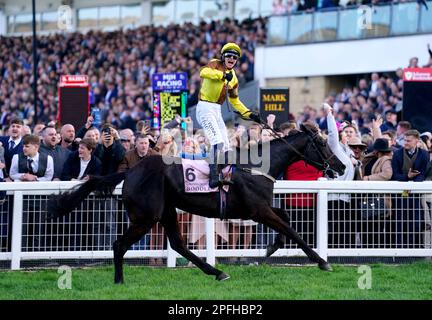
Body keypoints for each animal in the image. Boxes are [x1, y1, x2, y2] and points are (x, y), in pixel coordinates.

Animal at [47, 124, 344, 284]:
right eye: (321, 143)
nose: (340, 167)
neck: (257, 167)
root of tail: (130, 171)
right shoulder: (257, 210)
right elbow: (293, 230)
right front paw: (322, 262)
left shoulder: (257, 209)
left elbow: (286, 219)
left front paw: (272, 246)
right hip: (147, 216)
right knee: (119, 244)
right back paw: (119, 280)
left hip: (166, 211)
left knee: (178, 245)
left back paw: (217, 272)